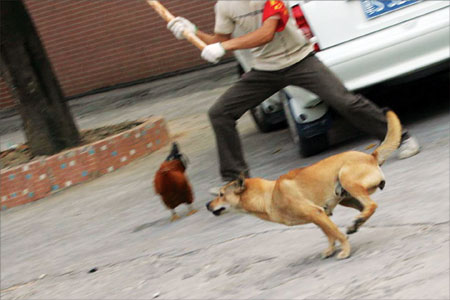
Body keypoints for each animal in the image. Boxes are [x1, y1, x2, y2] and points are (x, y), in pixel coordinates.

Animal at [207, 110, 400, 258]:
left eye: (221, 194)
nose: (207, 205)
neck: (270, 195)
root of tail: (371, 156)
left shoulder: (316, 213)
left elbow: (337, 234)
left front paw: (345, 250)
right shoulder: (319, 217)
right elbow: (329, 235)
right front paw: (330, 249)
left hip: (347, 179)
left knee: (372, 205)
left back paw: (357, 222)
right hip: (346, 197)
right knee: (366, 208)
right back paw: (357, 222)